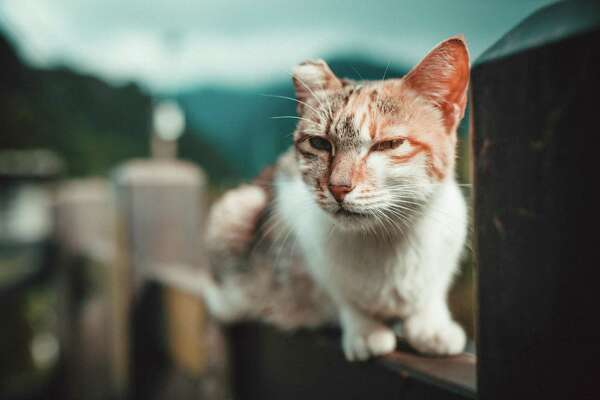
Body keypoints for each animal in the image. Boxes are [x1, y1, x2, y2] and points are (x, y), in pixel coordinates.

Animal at [199, 36, 472, 360]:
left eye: (389, 144)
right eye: (319, 143)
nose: (338, 187)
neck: (388, 238)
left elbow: (431, 296)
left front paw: (432, 326)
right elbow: (342, 298)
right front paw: (365, 330)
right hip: (236, 209)